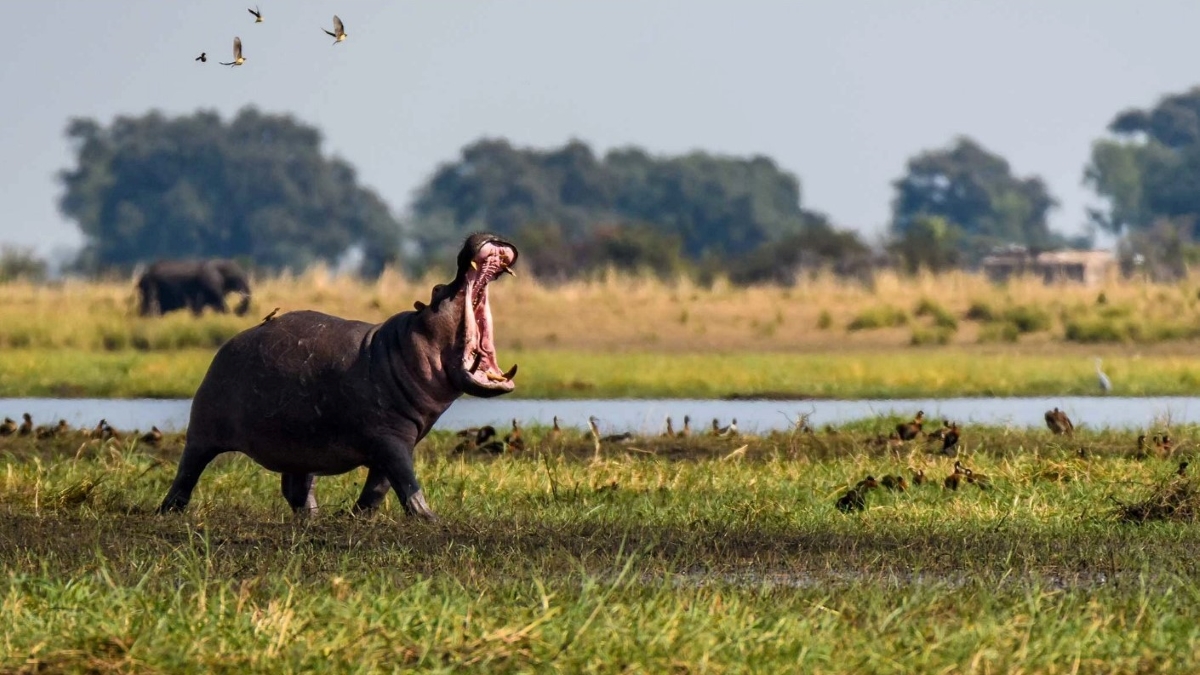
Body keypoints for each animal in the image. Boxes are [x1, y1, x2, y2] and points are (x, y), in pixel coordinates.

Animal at [157, 233, 518, 521]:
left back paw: (312, 517)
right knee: (188, 469)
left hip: (299, 444)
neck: (407, 345)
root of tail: (227, 344)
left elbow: (380, 485)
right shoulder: (389, 438)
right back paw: (169, 509)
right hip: (204, 429)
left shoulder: (399, 437)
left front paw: (356, 516)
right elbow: (405, 480)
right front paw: (430, 518)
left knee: (298, 487)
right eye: (438, 289)